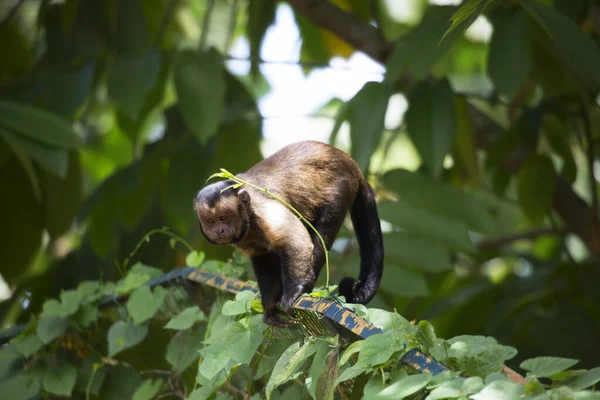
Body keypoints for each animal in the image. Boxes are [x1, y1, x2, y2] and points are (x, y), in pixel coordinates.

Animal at [195, 141, 386, 328]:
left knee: (322, 231)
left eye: (224, 218)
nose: (219, 230)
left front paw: (294, 291)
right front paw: (269, 305)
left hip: (342, 187)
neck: (249, 217)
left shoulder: (264, 209)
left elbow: (294, 241)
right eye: (211, 221)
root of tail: (353, 165)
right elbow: (263, 259)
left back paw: (306, 285)